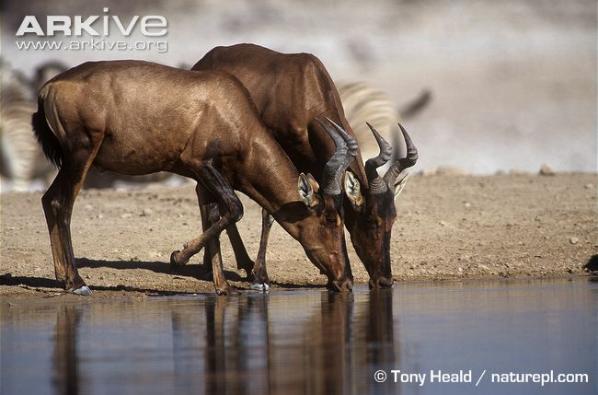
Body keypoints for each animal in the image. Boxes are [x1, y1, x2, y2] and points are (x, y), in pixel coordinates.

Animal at [31, 58, 356, 294]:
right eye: (330, 219)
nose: (346, 282)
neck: (228, 106)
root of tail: (48, 88)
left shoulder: (208, 176)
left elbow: (216, 216)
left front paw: (222, 287)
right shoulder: (200, 163)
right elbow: (234, 209)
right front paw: (177, 257)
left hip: (72, 159)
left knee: (48, 200)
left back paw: (61, 276)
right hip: (81, 153)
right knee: (62, 203)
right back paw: (77, 282)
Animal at [190, 44, 420, 290]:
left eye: (393, 219)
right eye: (370, 220)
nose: (385, 280)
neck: (304, 87)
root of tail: (203, 61)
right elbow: (269, 212)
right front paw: (261, 277)